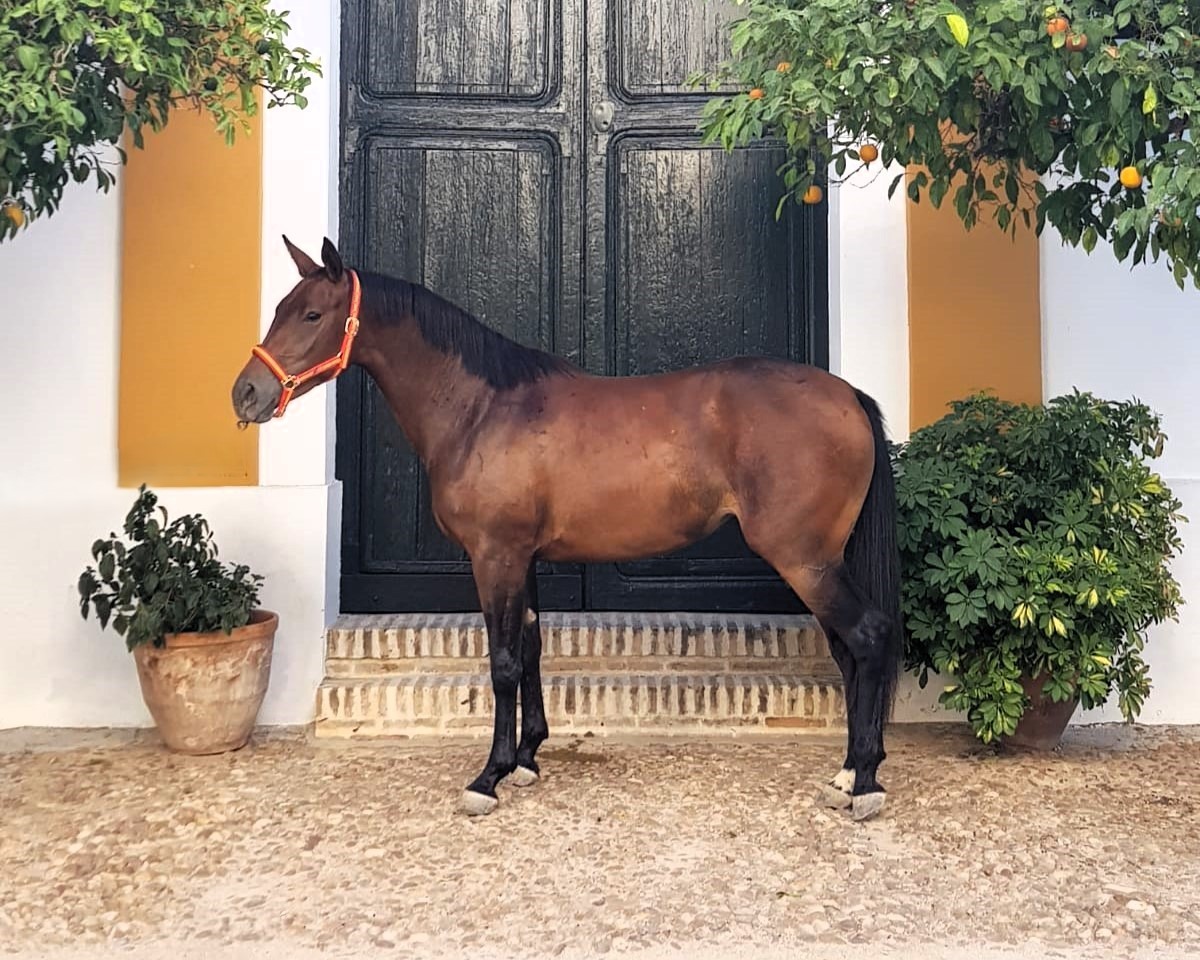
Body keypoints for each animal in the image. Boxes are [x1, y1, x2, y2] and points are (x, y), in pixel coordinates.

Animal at [233, 236, 902, 822]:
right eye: (279, 307)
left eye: (312, 313)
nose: (245, 394)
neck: (481, 409)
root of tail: (846, 394)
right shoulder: (521, 558)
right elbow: (530, 646)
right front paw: (527, 758)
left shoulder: (495, 556)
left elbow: (503, 662)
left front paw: (489, 777)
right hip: (819, 559)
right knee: (847, 651)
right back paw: (848, 773)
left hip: (803, 558)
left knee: (867, 638)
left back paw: (865, 785)